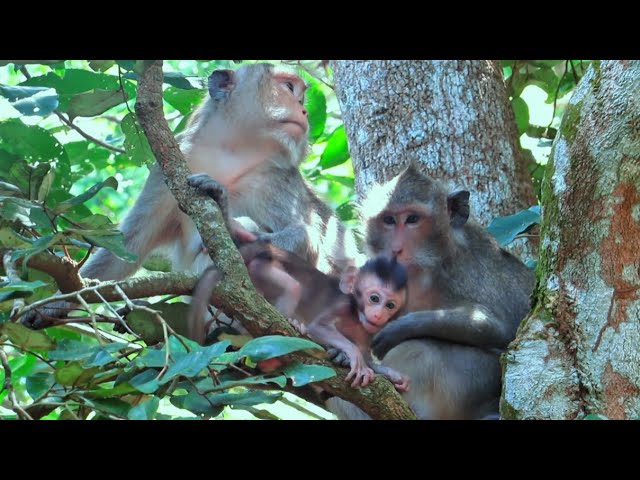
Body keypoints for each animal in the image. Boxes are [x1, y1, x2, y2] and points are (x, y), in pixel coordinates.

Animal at [23, 62, 360, 328]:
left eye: (301, 95)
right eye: (289, 88)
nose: (304, 109)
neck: (232, 152)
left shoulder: (278, 178)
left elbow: (308, 240)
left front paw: (229, 220)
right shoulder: (166, 171)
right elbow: (127, 249)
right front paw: (56, 302)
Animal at [188, 174, 412, 392]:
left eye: (390, 305)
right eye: (374, 298)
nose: (379, 314)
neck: (357, 318)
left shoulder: (368, 333)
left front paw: (389, 373)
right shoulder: (342, 307)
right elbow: (319, 326)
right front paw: (353, 355)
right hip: (261, 269)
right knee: (290, 287)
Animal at [328, 166, 532, 420]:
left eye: (412, 219)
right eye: (389, 220)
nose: (396, 248)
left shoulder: (465, 273)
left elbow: (502, 330)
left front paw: (400, 328)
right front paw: (345, 349)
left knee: (420, 348)